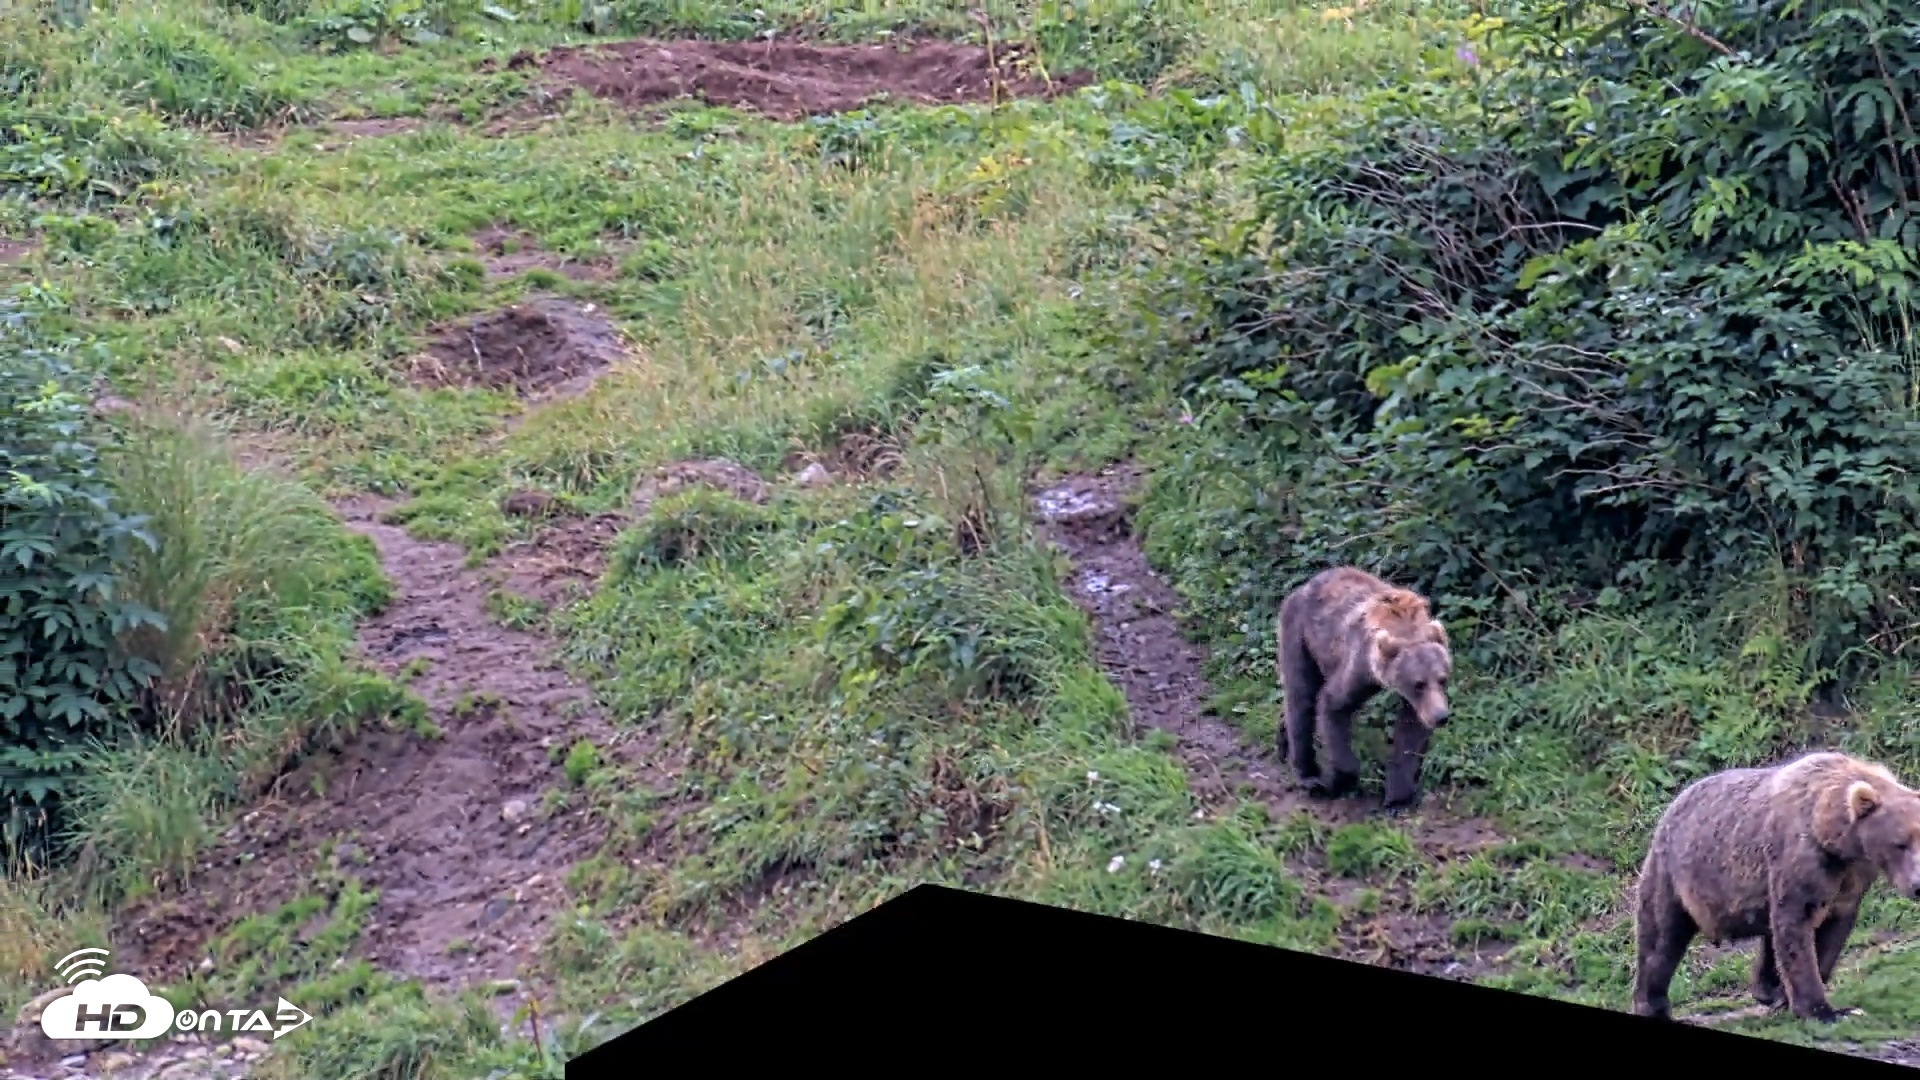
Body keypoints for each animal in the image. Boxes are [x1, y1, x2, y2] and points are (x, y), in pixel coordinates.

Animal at [1274, 566, 1453, 810]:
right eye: (1419, 683)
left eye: (1442, 679)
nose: (1440, 716)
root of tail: (1301, 587)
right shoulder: (1359, 663)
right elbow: (1333, 704)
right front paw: (1339, 780)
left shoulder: (1416, 700)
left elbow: (1410, 731)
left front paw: (1398, 799)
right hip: (1300, 634)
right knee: (1301, 695)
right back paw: (1308, 775)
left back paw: (1283, 742)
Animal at [1631, 751, 1920, 1024]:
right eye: (1900, 843)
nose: (1918, 885)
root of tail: (1673, 804)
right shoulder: (1803, 860)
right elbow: (1797, 926)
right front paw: (1823, 1010)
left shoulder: (1851, 878)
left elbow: (1832, 931)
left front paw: (1792, 997)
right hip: (1677, 874)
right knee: (1661, 938)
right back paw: (1652, 1005)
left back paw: (1767, 989)